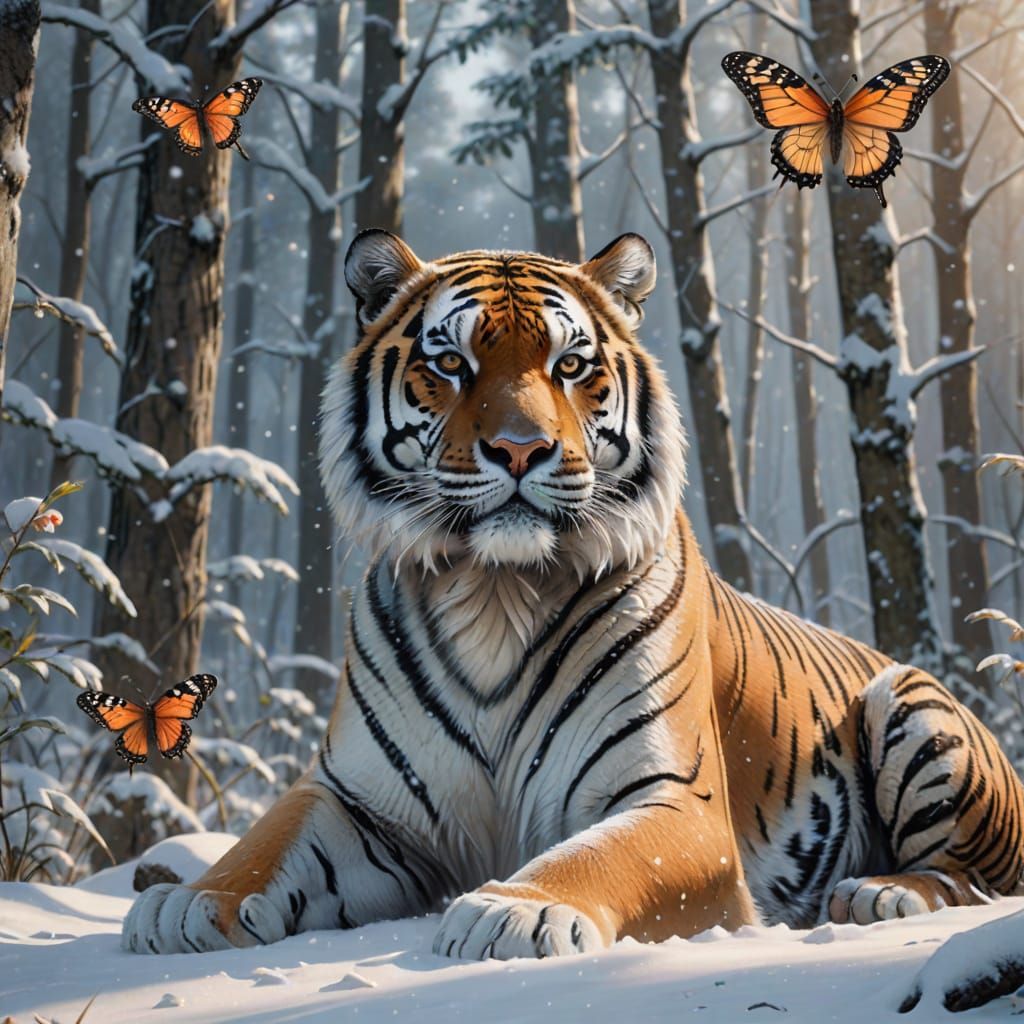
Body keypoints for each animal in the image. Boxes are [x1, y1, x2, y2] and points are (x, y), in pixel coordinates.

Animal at [123, 230, 1024, 958]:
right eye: (450, 362)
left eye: (570, 365)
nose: (521, 449)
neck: (493, 591)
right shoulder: (360, 802)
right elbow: (268, 842)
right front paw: (189, 901)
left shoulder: (676, 801)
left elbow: (597, 856)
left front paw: (513, 912)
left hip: (911, 704)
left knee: (969, 876)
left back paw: (881, 892)